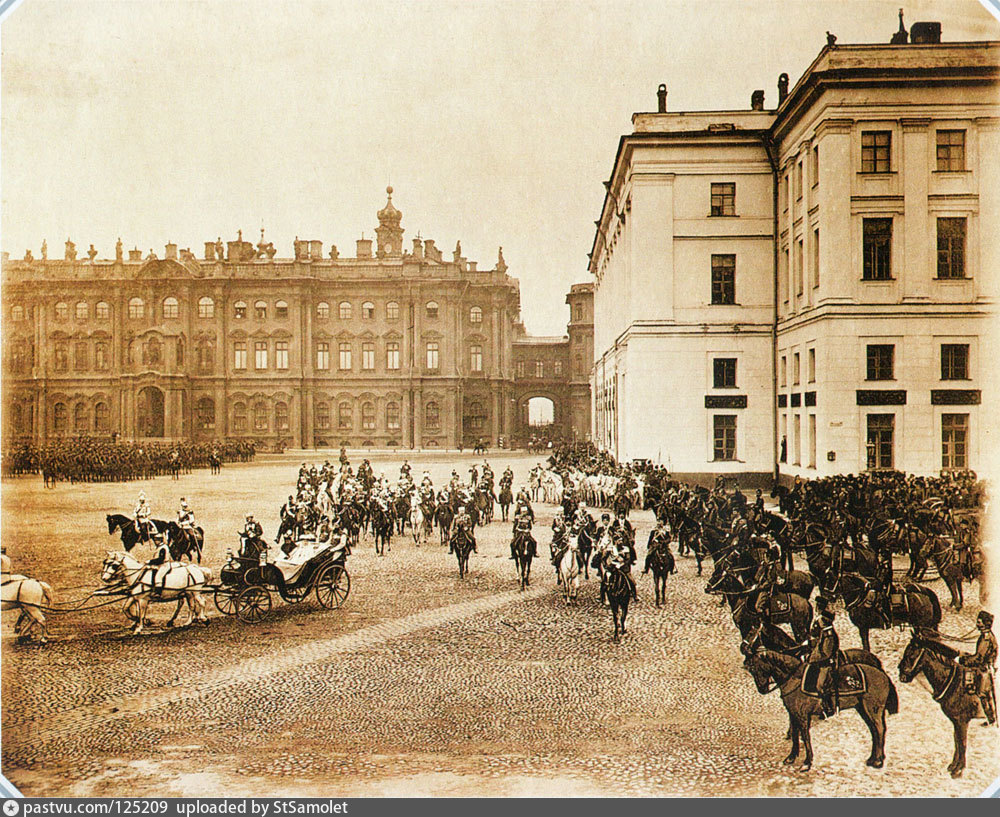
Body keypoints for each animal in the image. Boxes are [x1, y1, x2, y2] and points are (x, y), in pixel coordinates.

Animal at [744, 644, 900, 772]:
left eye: (756, 668)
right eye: (751, 670)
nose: (762, 689)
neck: (794, 678)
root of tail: (883, 674)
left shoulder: (802, 716)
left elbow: (805, 737)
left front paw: (807, 763)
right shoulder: (793, 714)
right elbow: (794, 734)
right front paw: (791, 757)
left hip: (872, 709)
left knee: (879, 730)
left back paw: (878, 761)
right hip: (862, 709)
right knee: (874, 731)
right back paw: (873, 758)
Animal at [900, 632, 984, 776]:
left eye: (911, 654)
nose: (902, 677)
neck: (956, 683)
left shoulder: (962, 721)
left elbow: (962, 743)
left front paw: (959, 770)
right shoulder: (956, 721)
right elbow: (957, 741)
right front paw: (953, 766)